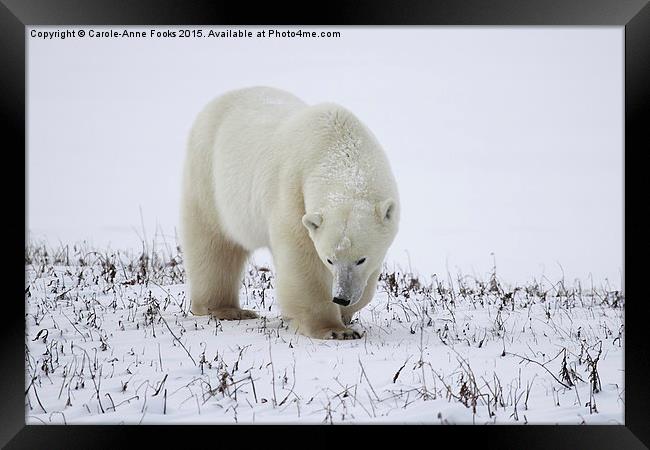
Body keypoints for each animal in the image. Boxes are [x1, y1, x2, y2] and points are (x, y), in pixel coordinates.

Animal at [180, 87, 398, 342]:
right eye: (329, 259)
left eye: (361, 259)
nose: (341, 297)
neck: (335, 145)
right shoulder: (292, 192)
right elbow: (302, 261)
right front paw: (335, 329)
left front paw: (346, 312)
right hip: (208, 176)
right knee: (214, 244)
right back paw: (226, 309)